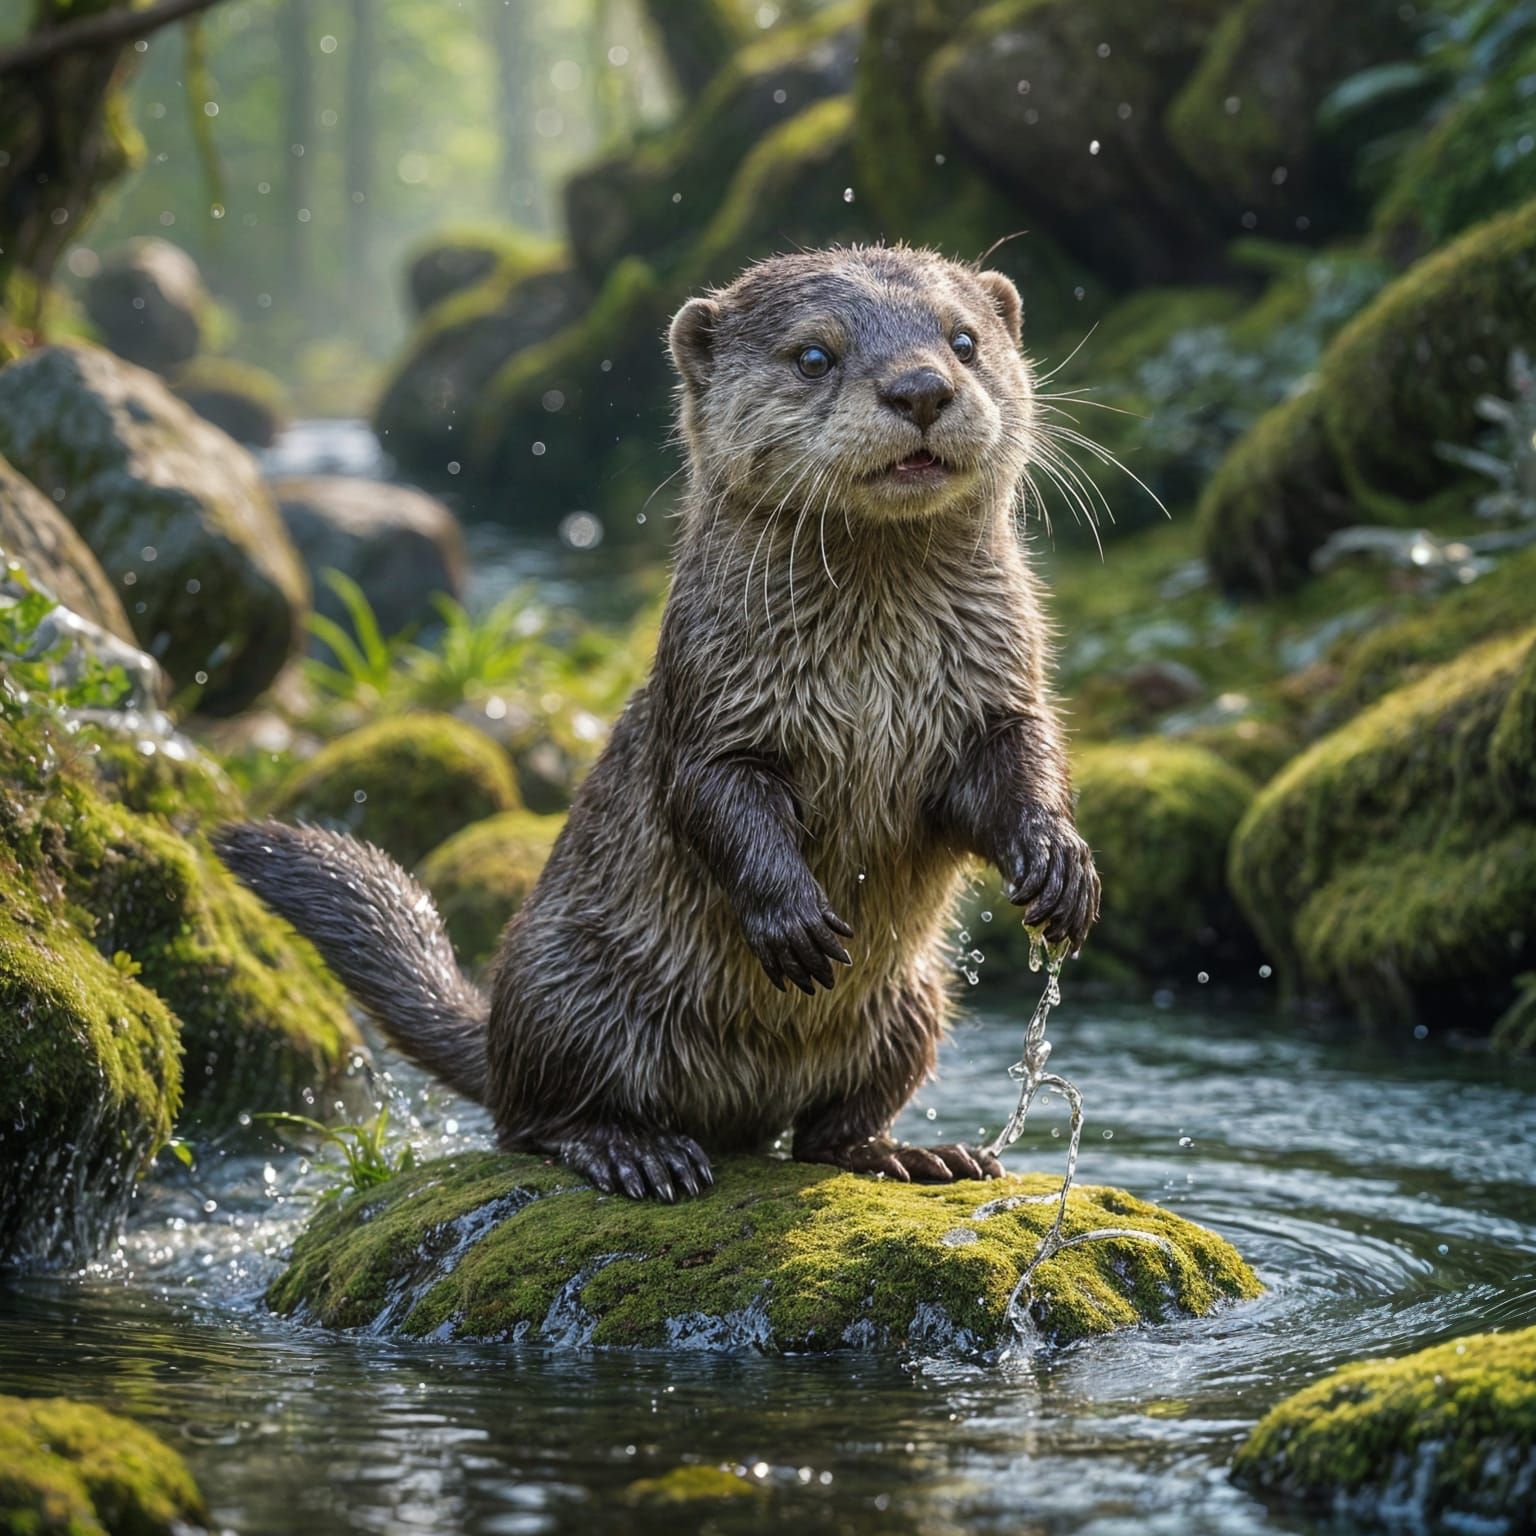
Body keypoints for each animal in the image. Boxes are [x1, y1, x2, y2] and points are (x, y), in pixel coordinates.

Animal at [215, 244, 1100, 1202]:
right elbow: (713, 798)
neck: (876, 674)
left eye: (963, 340)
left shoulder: (995, 694)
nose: (922, 388)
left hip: (914, 1000)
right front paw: (791, 916)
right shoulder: (713, 705)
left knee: (827, 1129)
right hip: (569, 985)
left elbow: (1019, 764)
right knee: (529, 1120)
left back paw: (909, 1154)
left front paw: (1060, 865)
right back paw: (635, 1150)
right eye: (814, 355)